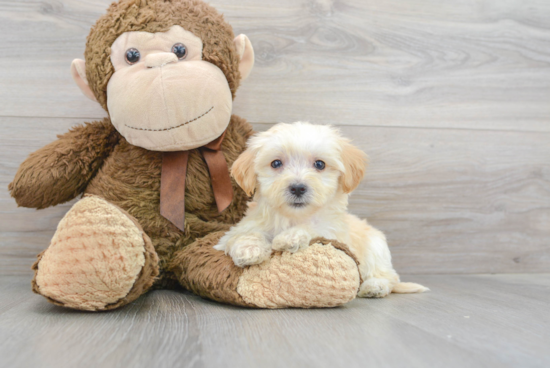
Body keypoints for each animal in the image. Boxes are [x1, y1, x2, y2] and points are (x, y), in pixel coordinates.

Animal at [213, 122, 430, 298]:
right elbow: (243, 235)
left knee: (388, 276)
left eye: (319, 164)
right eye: (276, 163)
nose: (298, 188)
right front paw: (249, 249)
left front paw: (289, 238)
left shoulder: (334, 233)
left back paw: (374, 287)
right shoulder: (237, 231)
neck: (293, 217)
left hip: (376, 248)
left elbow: (315, 229)